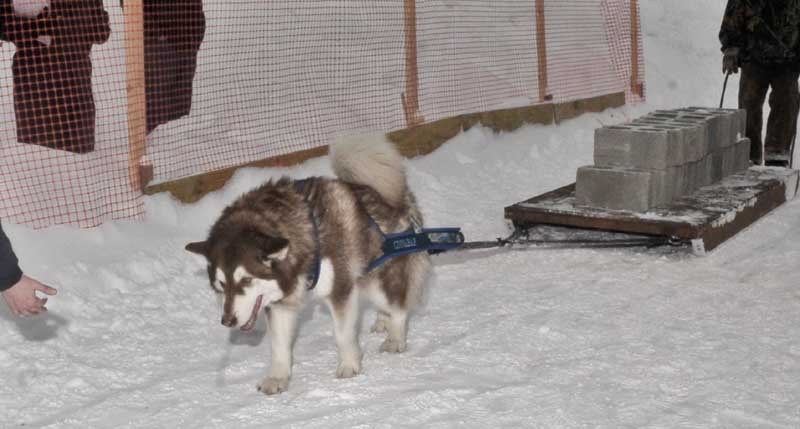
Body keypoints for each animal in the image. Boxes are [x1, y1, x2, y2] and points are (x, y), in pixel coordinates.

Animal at [185, 131, 432, 394]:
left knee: (398, 304)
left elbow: (342, 333)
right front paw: (277, 377)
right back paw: (383, 321)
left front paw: (349, 364)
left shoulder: (340, 290)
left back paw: (395, 336)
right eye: (220, 285)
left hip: (378, 278)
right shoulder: (280, 303)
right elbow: (279, 345)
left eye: (247, 280)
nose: (227, 321)